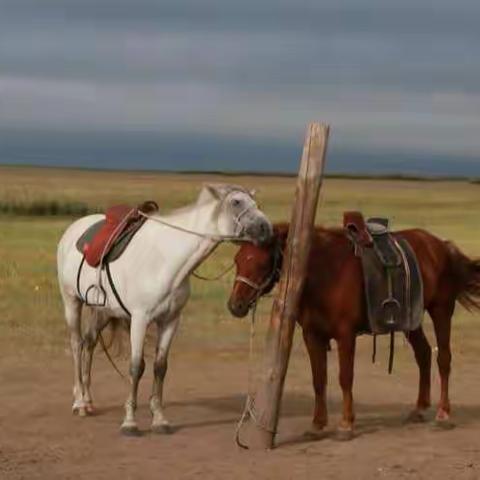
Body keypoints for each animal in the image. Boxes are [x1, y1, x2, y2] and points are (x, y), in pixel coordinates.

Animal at [56, 184, 270, 436]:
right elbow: (136, 367)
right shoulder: (140, 319)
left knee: (89, 343)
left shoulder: (170, 320)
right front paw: (130, 422)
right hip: (72, 302)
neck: (167, 260)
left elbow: (160, 367)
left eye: (255, 202)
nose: (267, 228)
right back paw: (79, 402)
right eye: (236, 202)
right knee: (77, 345)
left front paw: (159, 419)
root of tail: (73, 229)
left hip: (103, 310)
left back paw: (88, 400)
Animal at [228, 223, 480, 440]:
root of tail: (440, 246)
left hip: (441, 311)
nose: (235, 306)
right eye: (238, 260)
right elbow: (319, 379)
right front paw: (317, 425)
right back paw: (419, 409)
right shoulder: (312, 336)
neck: (326, 272)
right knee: (424, 354)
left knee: (443, 359)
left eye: (261, 262)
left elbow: (345, 378)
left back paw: (443, 414)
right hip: (412, 319)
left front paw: (346, 424)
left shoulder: (345, 335)